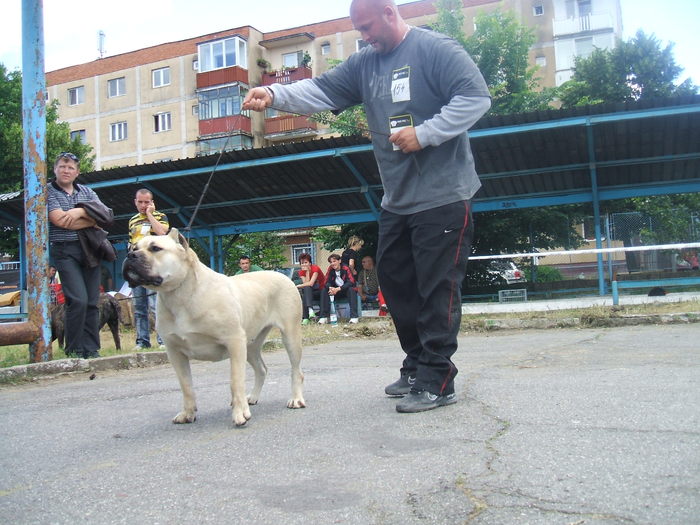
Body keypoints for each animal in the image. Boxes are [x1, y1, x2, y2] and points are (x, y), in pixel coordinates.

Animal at [121, 227, 306, 424]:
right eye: (133, 248)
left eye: (155, 248)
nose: (130, 255)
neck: (180, 295)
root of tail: (282, 275)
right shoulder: (175, 352)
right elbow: (186, 385)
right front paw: (188, 413)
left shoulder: (234, 342)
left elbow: (235, 381)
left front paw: (240, 412)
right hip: (250, 345)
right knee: (261, 369)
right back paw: (253, 397)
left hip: (289, 336)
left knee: (296, 370)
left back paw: (295, 399)